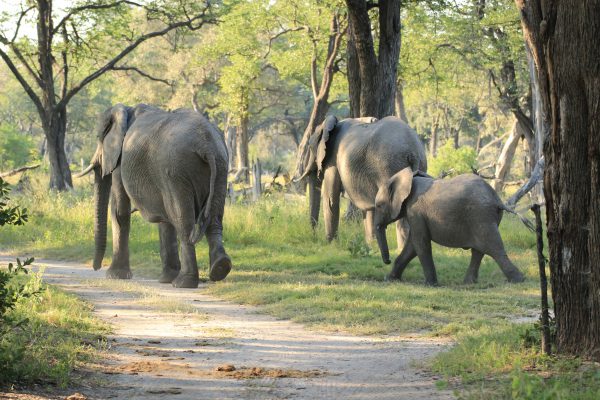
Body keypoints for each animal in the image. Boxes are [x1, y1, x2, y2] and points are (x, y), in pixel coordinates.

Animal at [78, 103, 232, 288]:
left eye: (99, 137)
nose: (96, 267)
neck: (126, 110)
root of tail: (206, 144)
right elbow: (164, 220)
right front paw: (165, 279)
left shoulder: (121, 160)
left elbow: (119, 211)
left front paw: (114, 276)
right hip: (220, 166)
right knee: (214, 220)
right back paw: (220, 268)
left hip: (175, 171)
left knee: (183, 222)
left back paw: (183, 283)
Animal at [296, 115, 426, 262]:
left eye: (311, 147)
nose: (314, 236)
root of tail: (412, 151)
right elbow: (370, 207)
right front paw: (372, 246)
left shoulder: (332, 159)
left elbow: (330, 198)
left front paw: (330, 244)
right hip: (417, 165)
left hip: (390, 166)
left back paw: (401, 250)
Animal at [372, 168, 524, 284]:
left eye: (379, 206)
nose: (387, 260)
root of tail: (497, 199)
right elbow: (412, 247)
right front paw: (389, 279)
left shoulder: (415, 212)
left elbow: (420, 244)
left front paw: (430, 284)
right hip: (484, 218)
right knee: (479, 251)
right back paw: (469, 283)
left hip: (481, 216)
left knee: (494, 249)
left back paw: (518, 280)